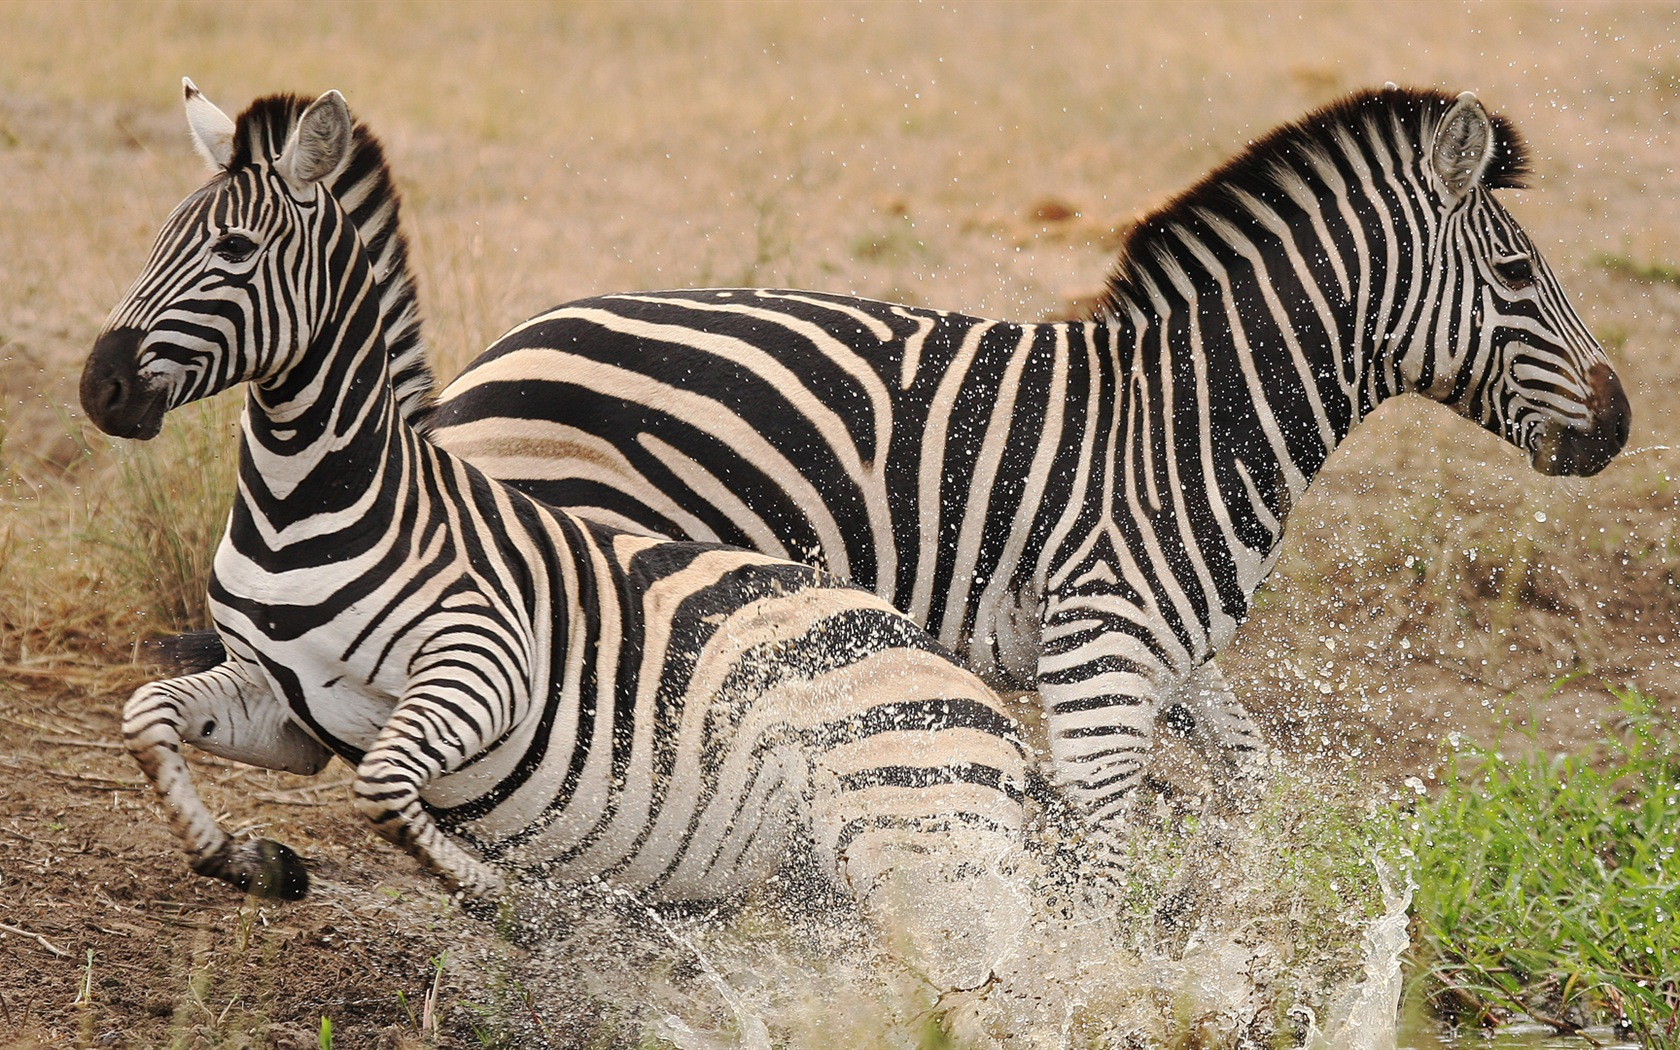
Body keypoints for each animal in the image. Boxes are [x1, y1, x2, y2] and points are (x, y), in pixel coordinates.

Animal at [85, 81, 1028, 981]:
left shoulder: (486, 659)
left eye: (235, 252)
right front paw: (254, 861)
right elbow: (146, 717)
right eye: (158, 239)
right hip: (830, 873)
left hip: (911, 826)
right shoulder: (283, 704)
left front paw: (513, 903)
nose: (102, 389)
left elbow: (385, 791)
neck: (299, 505)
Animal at [420, 86, 1626, 819]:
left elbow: (1252, 772)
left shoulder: (1164, 648)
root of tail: (477, 370)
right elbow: (1099, 857)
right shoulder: (1102, 650)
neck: (1193, 417)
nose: (1618, 425)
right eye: (1518, 275)